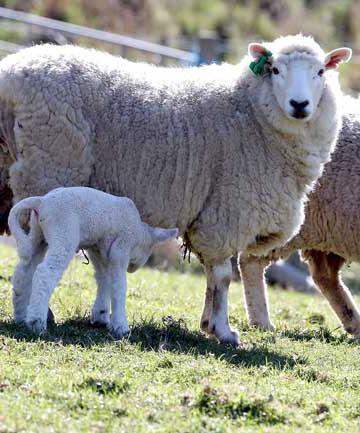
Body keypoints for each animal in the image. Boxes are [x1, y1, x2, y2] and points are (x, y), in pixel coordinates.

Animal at [7, 186, 178, 334]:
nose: (132, 269)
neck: (138, 231)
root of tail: (41, 201)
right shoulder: (121, 248)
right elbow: (119, 286)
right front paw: (120, 326)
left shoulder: (98, 249)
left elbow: (104, 278)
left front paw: (101, 315)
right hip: (63, 233)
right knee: (45, 273)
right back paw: (36, 322)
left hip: (37, 235)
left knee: (24, 270)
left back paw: (21, 316)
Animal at [239, 99, 360, 336]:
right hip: (286, 218)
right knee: (250, 260)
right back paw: (261, 322)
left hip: (331, 231)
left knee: (325, 277)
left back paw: (354, 323)